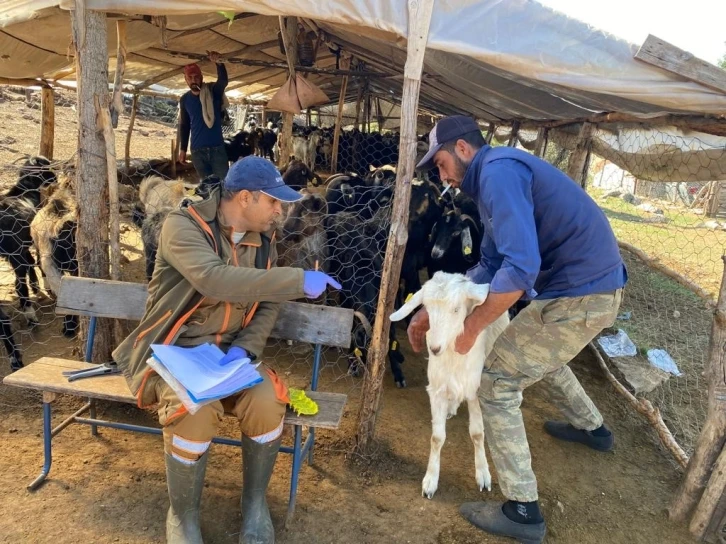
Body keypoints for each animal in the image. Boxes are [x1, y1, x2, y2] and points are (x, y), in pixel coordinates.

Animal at [392, 274, 512, 500]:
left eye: (456, 309)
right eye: (427, 309)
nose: (434, 348)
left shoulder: (476, 391)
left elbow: (477, 434)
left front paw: (483, 473)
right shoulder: (437, 389)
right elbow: (437, 437)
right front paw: (430, 480)